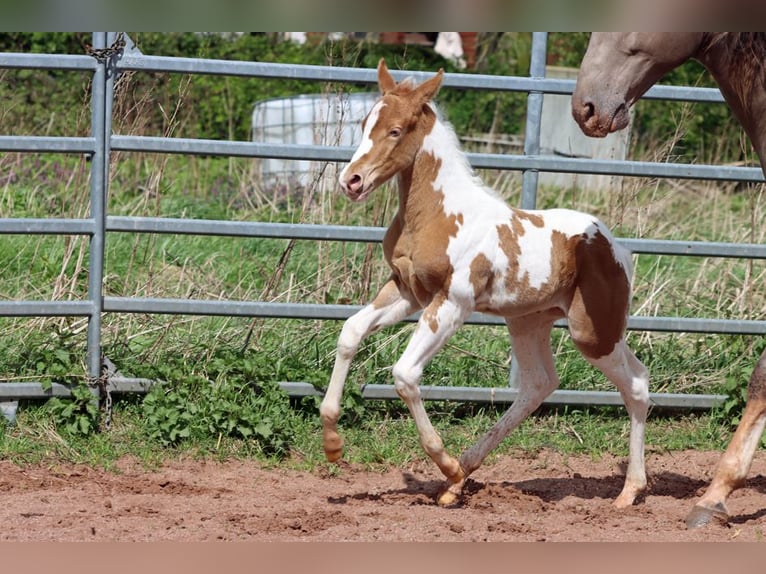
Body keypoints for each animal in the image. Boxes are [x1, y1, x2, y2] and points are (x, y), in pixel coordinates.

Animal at [319, 58, 650, 508]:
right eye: (365, 123)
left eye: (396, 130)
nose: (350, 182)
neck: (439, 213)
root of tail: (616, 246)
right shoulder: (407, 291)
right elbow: (350, 332)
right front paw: (333, 443)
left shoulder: (452, 303)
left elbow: (405, 374)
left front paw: (444, 462)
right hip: (528, 321)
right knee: (538, 385)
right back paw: (461, 477)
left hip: (594, 331)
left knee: (637, 384)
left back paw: (629, 492)